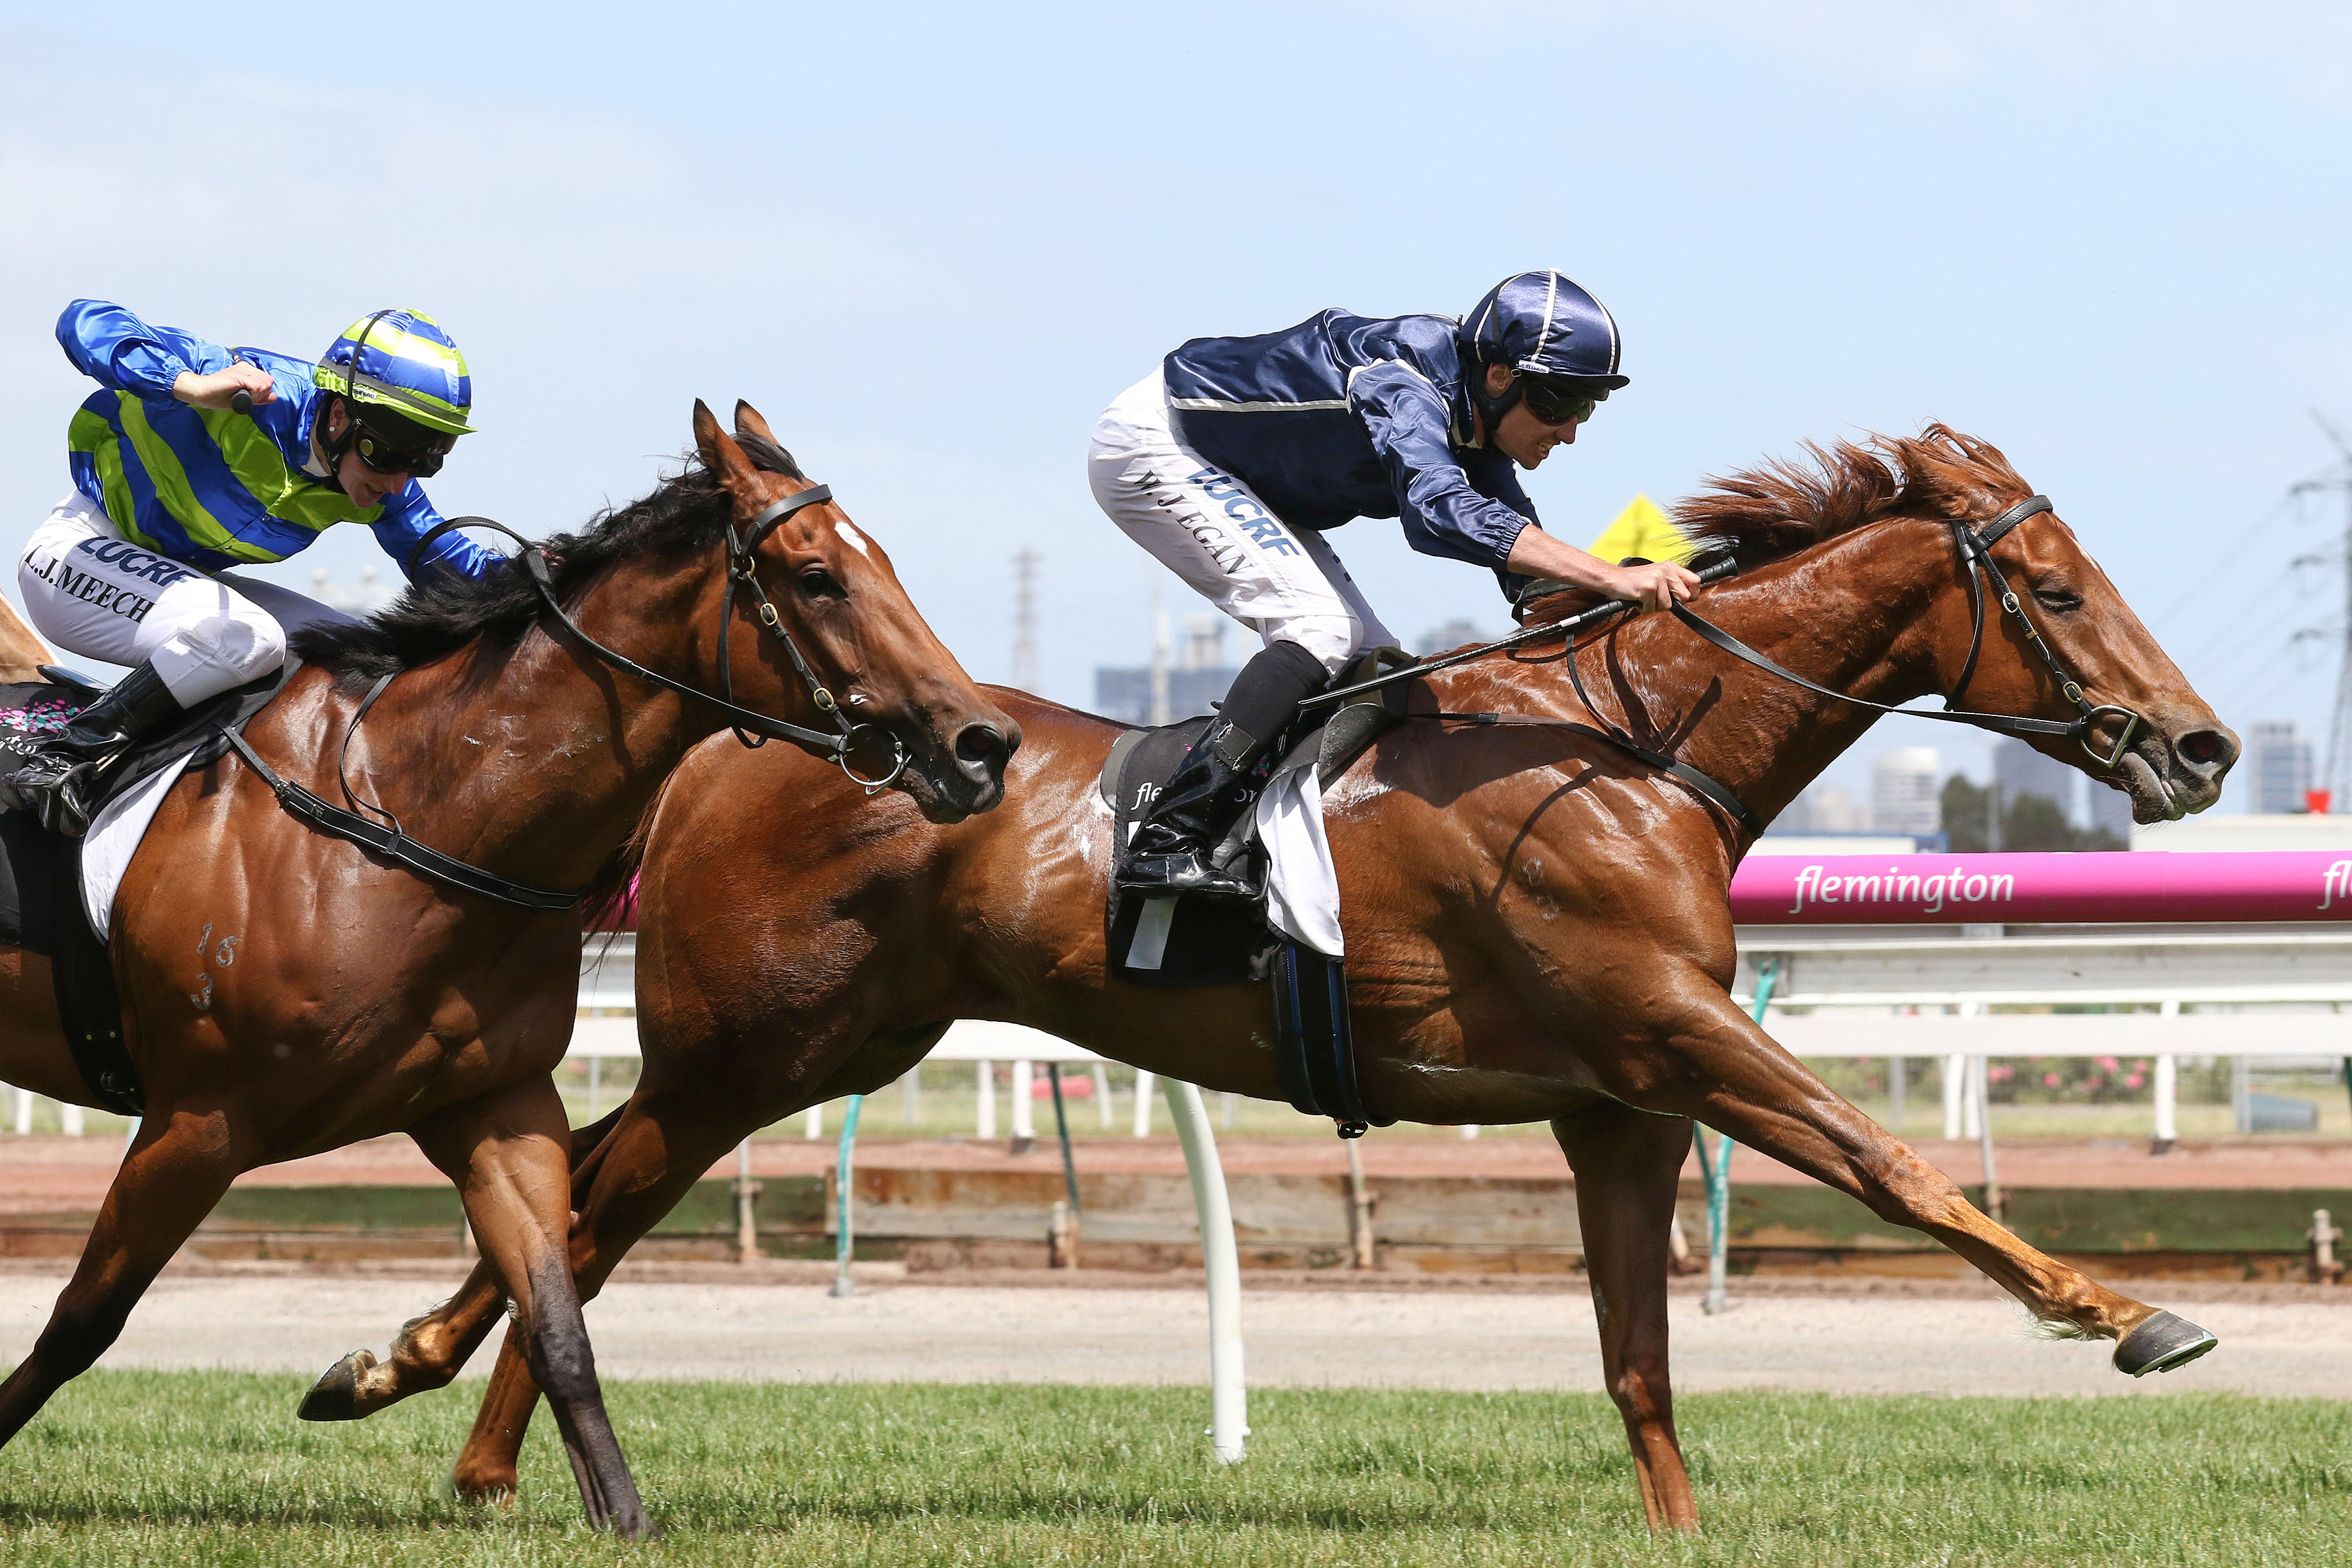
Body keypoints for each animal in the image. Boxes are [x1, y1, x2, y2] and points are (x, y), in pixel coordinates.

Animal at [0, 401, 1017, 1537]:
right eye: (816, 577)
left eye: (879, 559)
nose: (984, 745)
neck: (410, 821)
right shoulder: (198, 1121)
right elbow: (82, 1320)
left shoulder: (495, 1103)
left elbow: (557, 1307)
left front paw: (619, 1514)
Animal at [317, 426, 2235, 1532]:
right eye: (2057, 588)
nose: (2201, 744)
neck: (1627, 748)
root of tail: (731, 745)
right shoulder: (1674, 1033)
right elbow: (1893, 1166)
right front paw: (2129, 1312)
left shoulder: (1617, 1104)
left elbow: (1637, 1356)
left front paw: (1679, 1522)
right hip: (752, 1044)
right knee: (583, 1200)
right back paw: (431, 1402)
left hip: (802, 1044)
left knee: (578, 1195)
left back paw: (434, 1409)